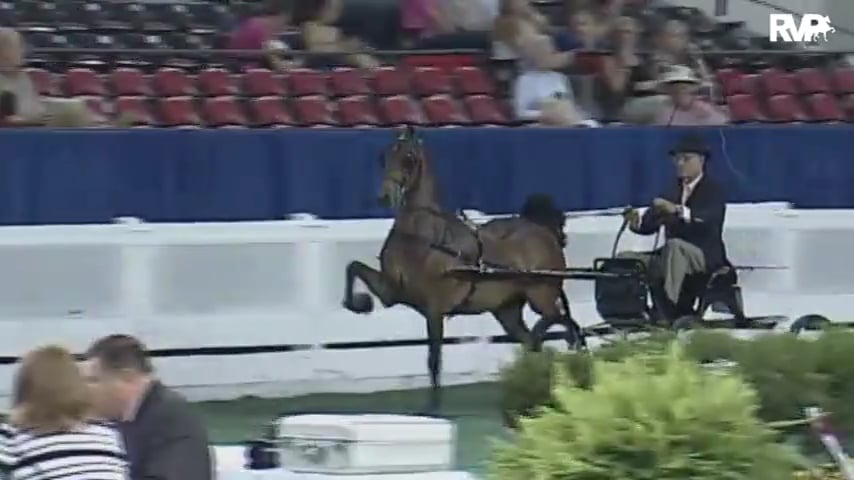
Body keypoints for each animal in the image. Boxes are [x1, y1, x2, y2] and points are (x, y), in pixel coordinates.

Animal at [341, 125, 584, 412]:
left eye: (409, 158)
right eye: (384, 156)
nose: (384, 196)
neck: (424, 237)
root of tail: (543, 230)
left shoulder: (434, 309)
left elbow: (434, 359)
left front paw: (433, 408)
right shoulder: (391, 292)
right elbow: (353, 268)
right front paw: (360, 303)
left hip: (541, 295)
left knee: (560, 320)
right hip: (507, 311)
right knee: (535, 337)